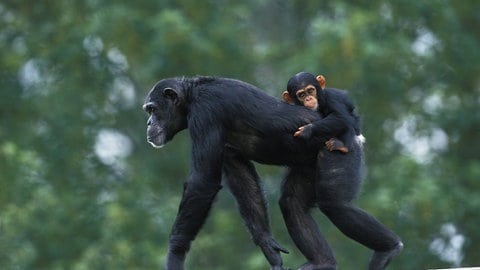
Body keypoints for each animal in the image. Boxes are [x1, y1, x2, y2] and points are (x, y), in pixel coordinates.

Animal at [142, 74, 402, 270]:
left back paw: (388, 249)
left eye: (152, 109)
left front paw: (175, 253)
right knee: (291, 202)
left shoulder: (206, 113)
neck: (191, 96)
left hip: (341, 151)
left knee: (336, 204)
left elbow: (203, 180)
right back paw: (323, 262)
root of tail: (357, 133)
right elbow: (241, 174)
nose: (148, 123)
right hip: (309, 166)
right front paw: (268, 246)